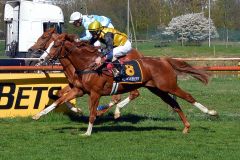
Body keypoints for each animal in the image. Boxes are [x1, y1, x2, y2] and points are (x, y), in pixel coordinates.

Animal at [46, 33, 218, 136]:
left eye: (55, 45)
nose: (44, 58)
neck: (88, 64)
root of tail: (164, 60)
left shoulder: (95, 93)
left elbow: (93, 113)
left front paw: (87, 132)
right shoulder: (80, 90)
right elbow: (59, 99)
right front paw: (40, 114)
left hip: (168, 86)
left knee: (188, 97)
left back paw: (210, 112)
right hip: (158, 89)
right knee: (174, 104)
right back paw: (186, 126)